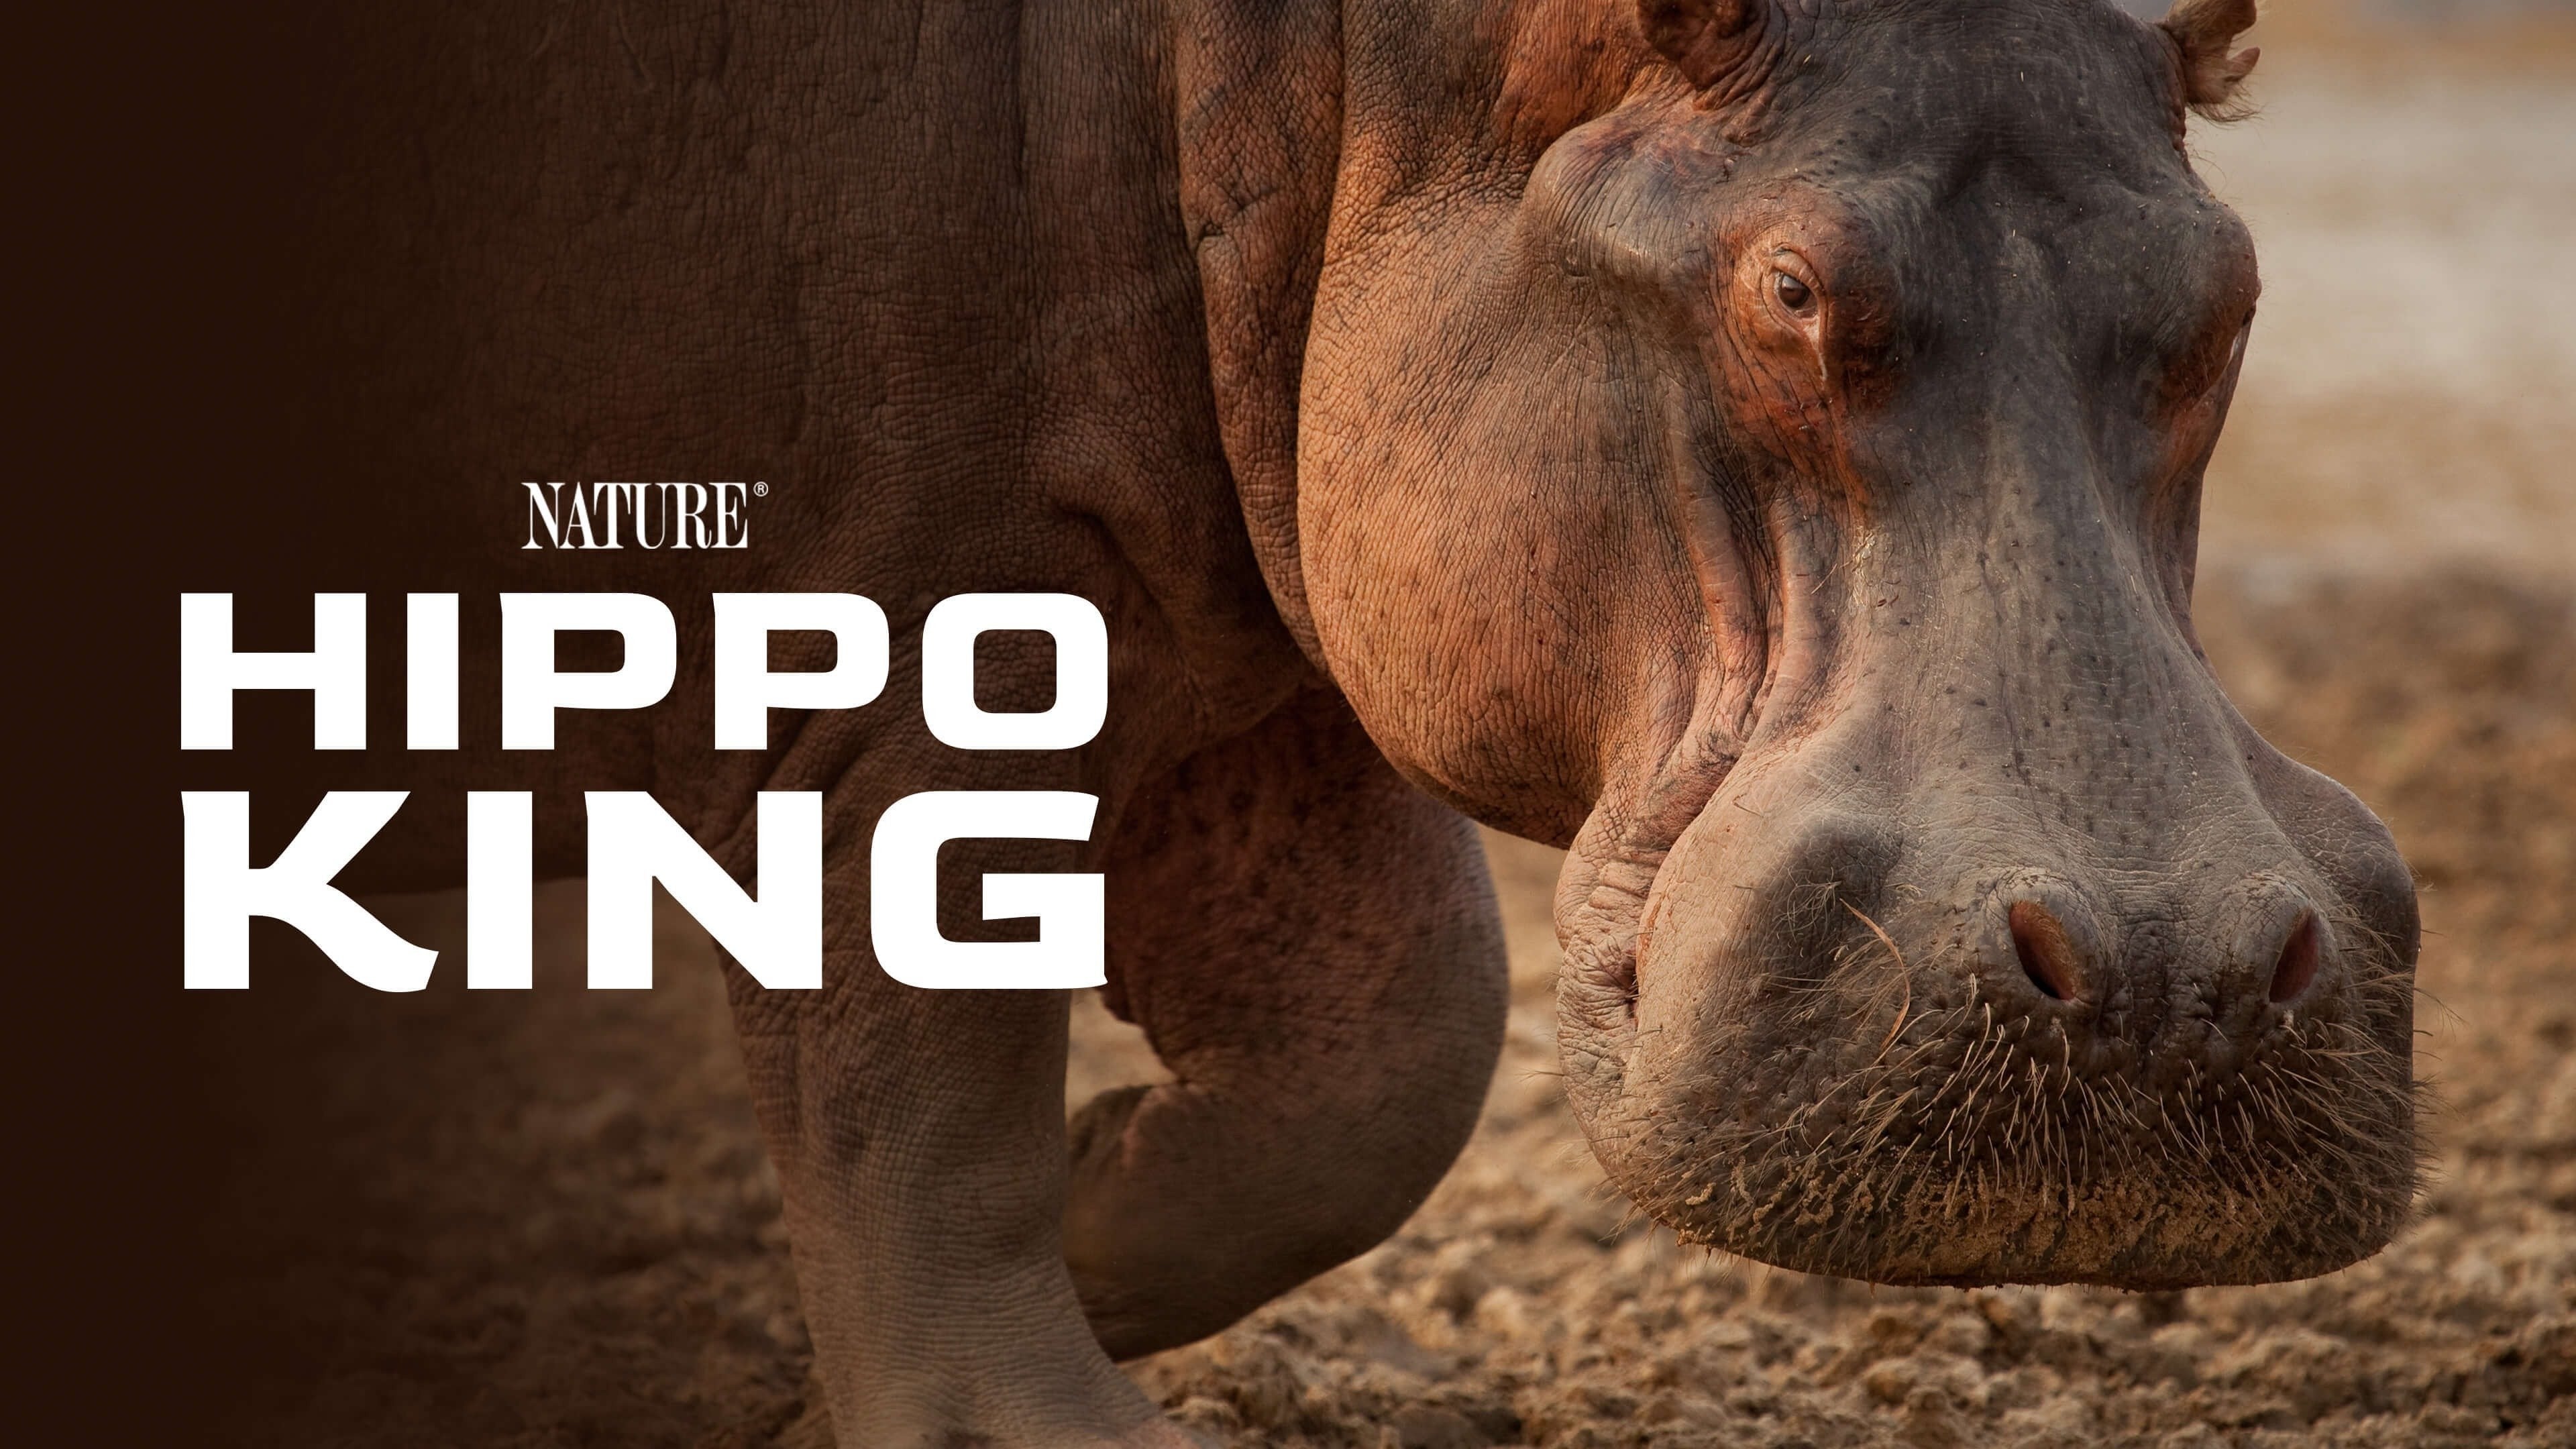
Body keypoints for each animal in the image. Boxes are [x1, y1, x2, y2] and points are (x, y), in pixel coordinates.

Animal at [197, 0, 2420, 1442]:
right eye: (1790, 292)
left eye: (2226, 292)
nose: (2170, 982)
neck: (1357, 66)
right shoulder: (885, 644)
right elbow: (911, 1080)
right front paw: (1046, 1429)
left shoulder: (1241, 656)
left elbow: (1387, 1059)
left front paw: (1099, 1201)